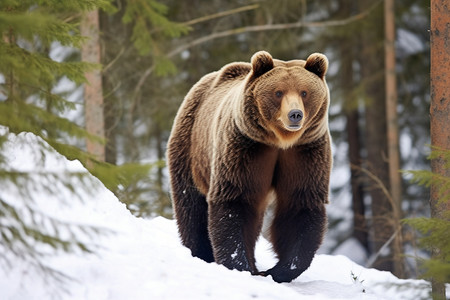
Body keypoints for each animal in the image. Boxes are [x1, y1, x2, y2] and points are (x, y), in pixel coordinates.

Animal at [167, 50, 332, 282]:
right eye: (278, 92)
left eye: (304, 92)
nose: (295, 114)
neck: (280, 141)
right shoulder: (245, 147)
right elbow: (235, 200)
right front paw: (240, 265)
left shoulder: (305, 152)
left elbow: (300, 205)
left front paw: (278, 270)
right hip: (190, 146)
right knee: (191, 204)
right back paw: (199, 252)